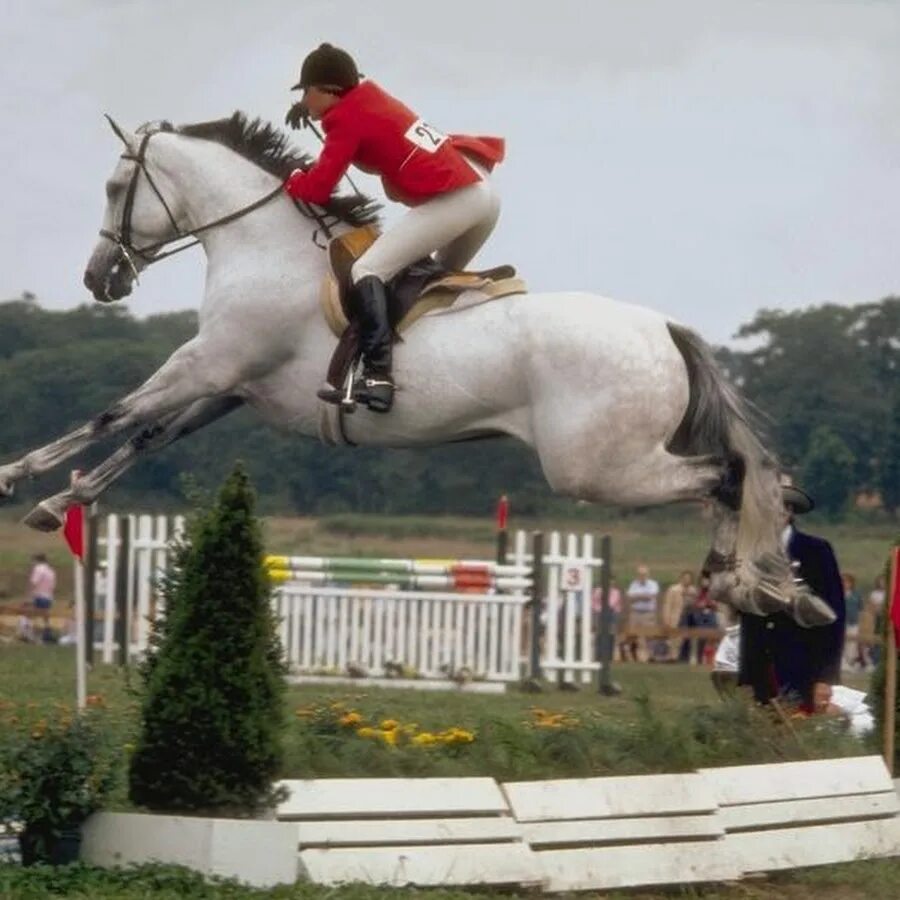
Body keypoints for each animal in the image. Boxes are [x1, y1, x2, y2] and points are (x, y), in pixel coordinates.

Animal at [0, 112, 828, 624]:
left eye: (116, 189)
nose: (100, 278)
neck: (265, 248)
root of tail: (665, 327)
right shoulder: (232, 386)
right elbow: (147, 436)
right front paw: (61, 501)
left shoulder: (206, 364)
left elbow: (114, 414)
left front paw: (17, 476)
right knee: (752, 482)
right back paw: (768, 589)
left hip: (598, 468)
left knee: (727, 477)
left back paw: (739, 582)